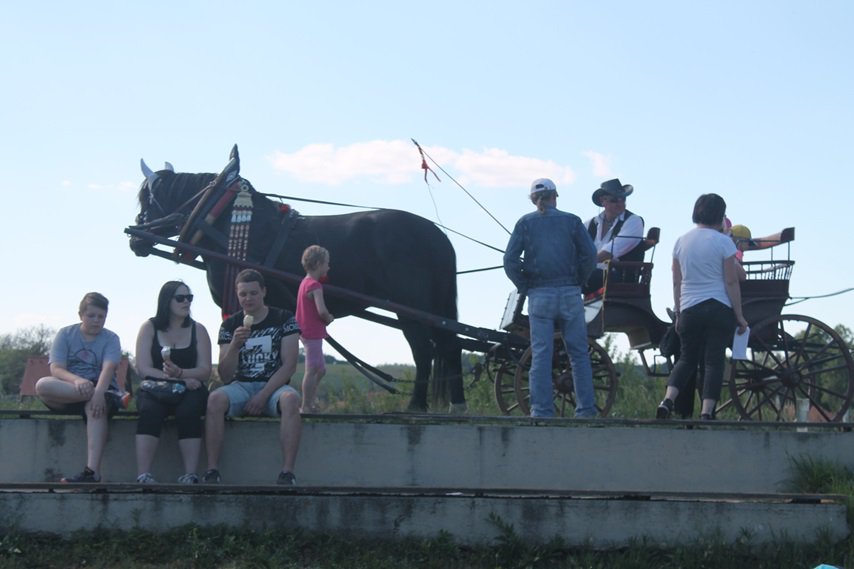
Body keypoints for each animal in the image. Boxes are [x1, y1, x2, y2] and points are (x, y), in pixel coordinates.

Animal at [128, 144, 464, 410]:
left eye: (147, 199)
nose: (135, 239)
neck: (222, 222)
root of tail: (439, 236)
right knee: (450, 345)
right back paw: (456, 403)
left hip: (411, 306)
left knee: (424, 349)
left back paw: (417, 405)